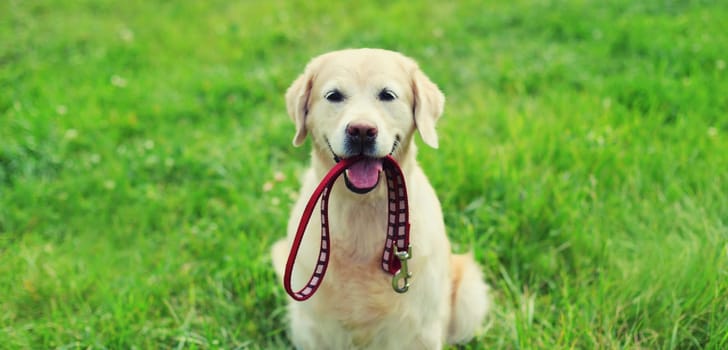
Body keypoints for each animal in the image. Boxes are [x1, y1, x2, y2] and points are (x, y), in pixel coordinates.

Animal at [272, 47, 490, 348]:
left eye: (387, 95)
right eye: (334, 96)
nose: (362, 130)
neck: (362, 209)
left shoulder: (418, 328)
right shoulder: (315, 327)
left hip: (469, 294)